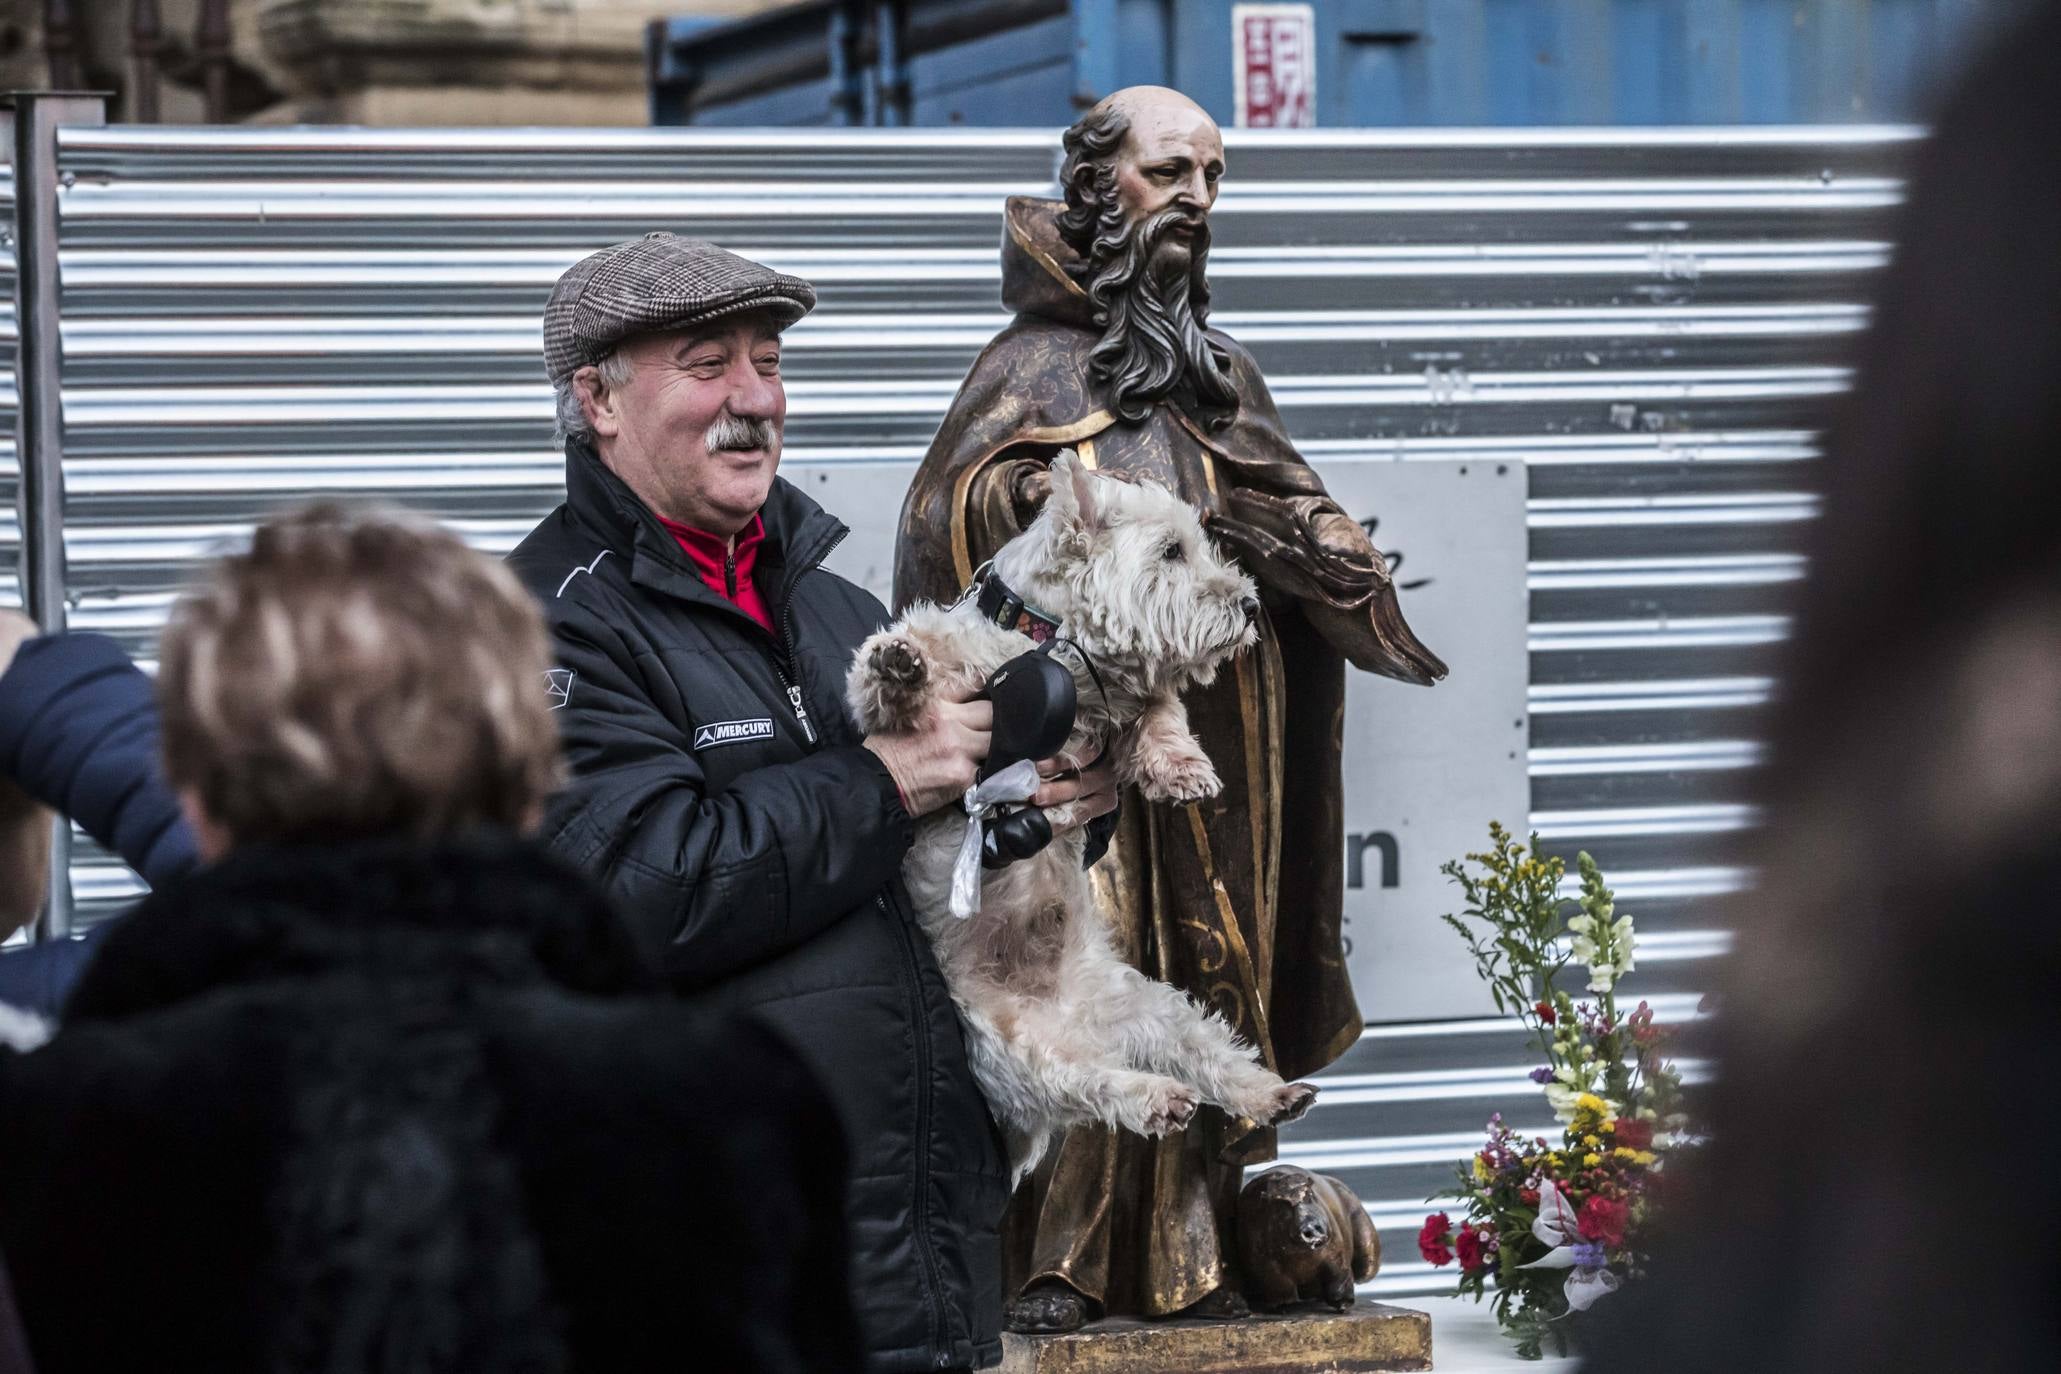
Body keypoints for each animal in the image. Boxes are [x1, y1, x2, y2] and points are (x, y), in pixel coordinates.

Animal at [853, 453, 1319, 1186]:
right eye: (1171, 551)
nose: (1249, 605)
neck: (1055, 646)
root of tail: (1080, 1025)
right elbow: (886, 692)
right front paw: (897, 663)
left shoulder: (1125, 704)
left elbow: (1160, 712)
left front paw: (1182, 767)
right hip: (1014, 1049)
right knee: (1093, 1085)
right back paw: (1157, 1099)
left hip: (1152, 1007)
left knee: (1206, 1054)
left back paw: (1271, 1093)